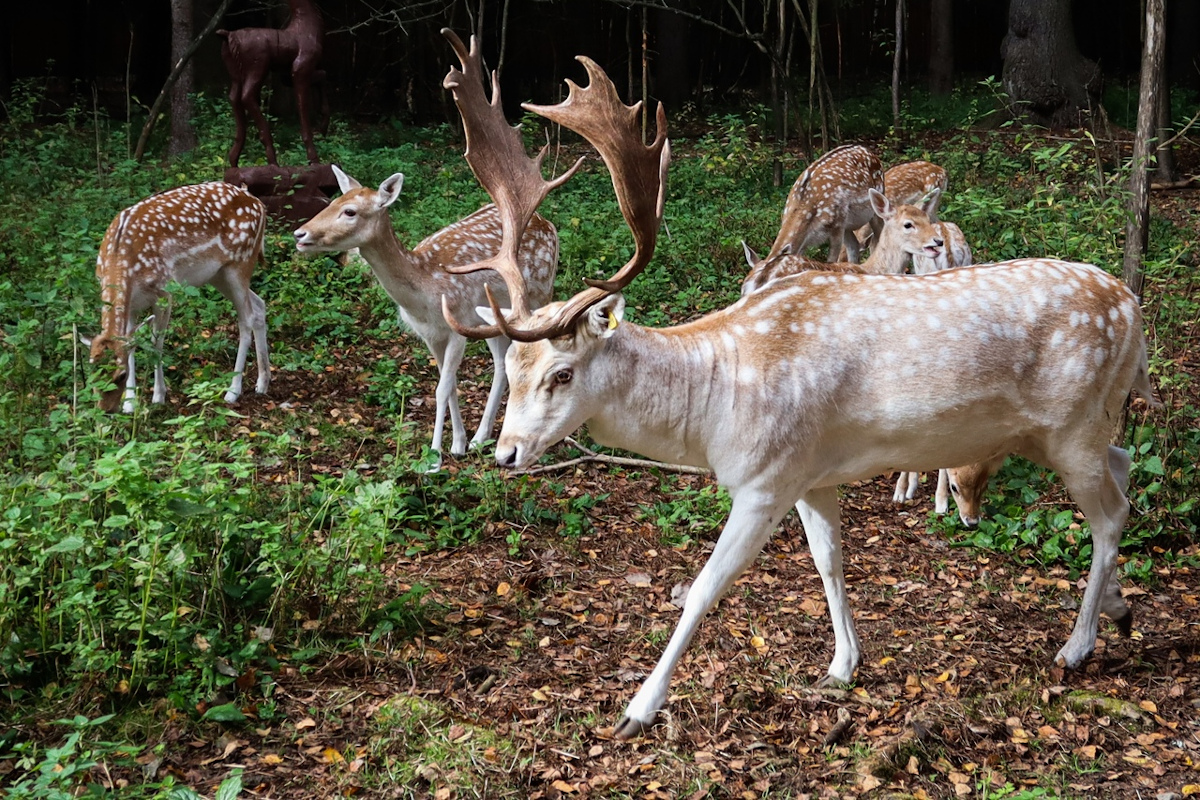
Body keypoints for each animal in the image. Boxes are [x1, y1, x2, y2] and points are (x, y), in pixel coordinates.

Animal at [87, 183, 271, 412]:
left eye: (120, 375)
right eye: (92, 374)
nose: (106, 410)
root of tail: (259, 203)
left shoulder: (164, 291)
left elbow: (156, 342)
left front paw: (158, 396)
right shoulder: (132, 305)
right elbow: (131, 344)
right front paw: (130, 404)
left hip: (241, 263)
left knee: (246, 319)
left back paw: (232, 391)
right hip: (218, 275)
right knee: (259, 305)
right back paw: (263, 383)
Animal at [292, 169, 559, 470]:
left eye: (350, 211)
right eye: (333, 201)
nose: (299, 233)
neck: (424, 296)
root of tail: (547, 223)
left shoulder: (458, 325)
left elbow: (442, 389)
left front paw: (434, 458)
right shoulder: (430, 334)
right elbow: (449, 384)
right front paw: (458, 444)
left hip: (539, 292)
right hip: (494, 317)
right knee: (502, 362)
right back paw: (481, 438)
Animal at [436, 28, 1156, 743]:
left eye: (561, 372)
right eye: (513, 368)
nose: (506, 453)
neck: (715, 406)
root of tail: (1132, 309)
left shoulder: (765, 477)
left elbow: (704, 586)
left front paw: (638, 708)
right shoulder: (814, 473)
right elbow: (829, 561)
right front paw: (842, 665)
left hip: (1073, 425)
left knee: (1111, 511)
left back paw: (1078, 644)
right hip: (1064, 429)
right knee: (1123, 464)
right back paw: (1119, 609)